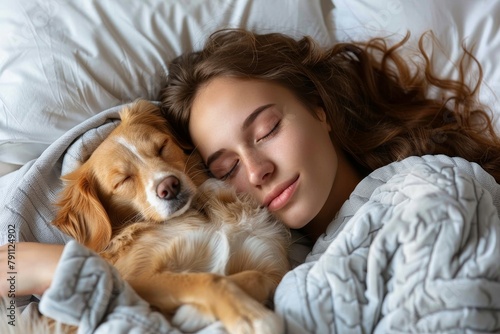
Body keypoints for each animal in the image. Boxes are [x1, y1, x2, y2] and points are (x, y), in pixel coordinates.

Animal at [50, 100, 292, 332]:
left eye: (161, 147)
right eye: (122, 180)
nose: (169, 186)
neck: (203, 213)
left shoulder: (273, 266)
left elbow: (256, 277)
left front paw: (195, 313)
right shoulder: (135, 278)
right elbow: (208, 279)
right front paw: (250, 317)